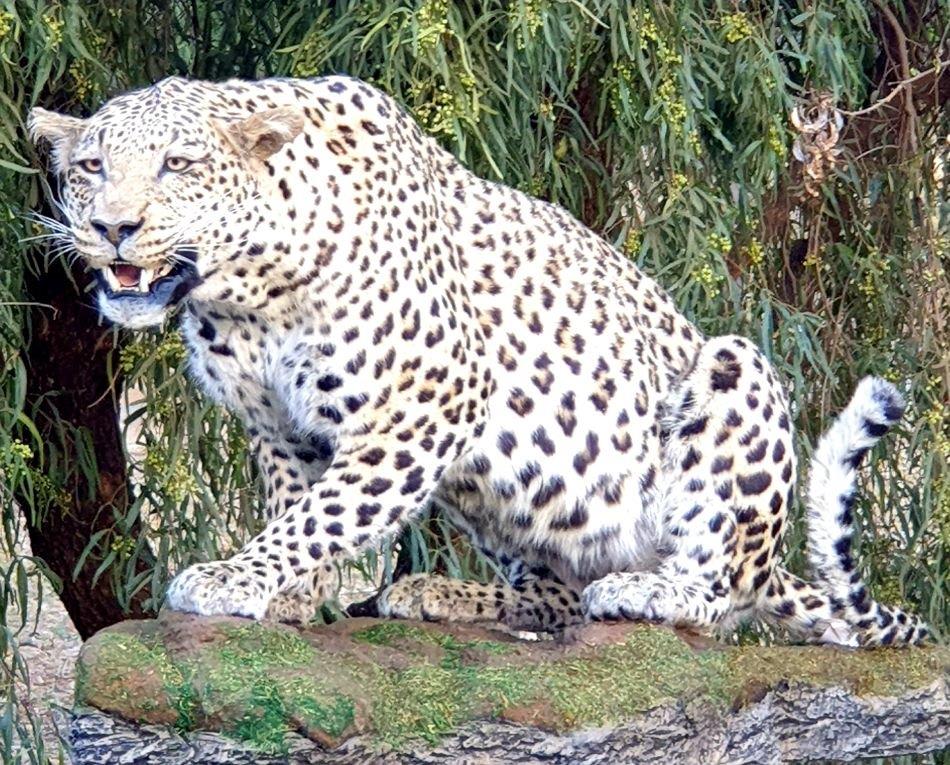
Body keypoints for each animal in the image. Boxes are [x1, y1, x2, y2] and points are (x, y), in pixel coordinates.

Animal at [29, 75, 928, 647]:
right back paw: (445, 593)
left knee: (716, 595)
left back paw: (647, 589)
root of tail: (774, 562)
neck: (247, 293)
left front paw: (238, 577)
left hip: (735, 376)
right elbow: (300, 501)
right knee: (558, 596)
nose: (112, 228)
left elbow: (324, 511)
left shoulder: (427, 402)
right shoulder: (277, 423)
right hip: (500, 495)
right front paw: (291, 595)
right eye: (90, 167)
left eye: (178, 165)